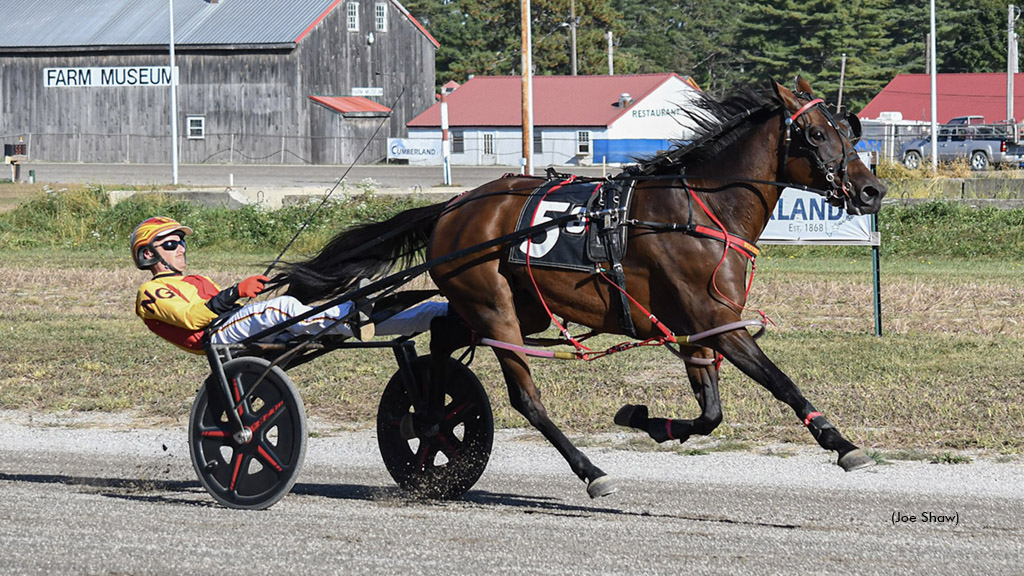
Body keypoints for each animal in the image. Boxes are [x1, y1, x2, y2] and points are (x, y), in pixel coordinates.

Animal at [278, 77, 888, 498]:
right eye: (815, 134)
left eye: (847, 130)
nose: (872, 190)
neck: (699, 209)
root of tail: (452, 207)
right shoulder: (714, 322)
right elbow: (781, 383)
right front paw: (842, 445)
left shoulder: (699, 328)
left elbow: (711, 412)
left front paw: (646, 420)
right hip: (495, 308)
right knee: (524, 397)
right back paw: (589, 471)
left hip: (517, 307)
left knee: (441, 339)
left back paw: (428, 419)